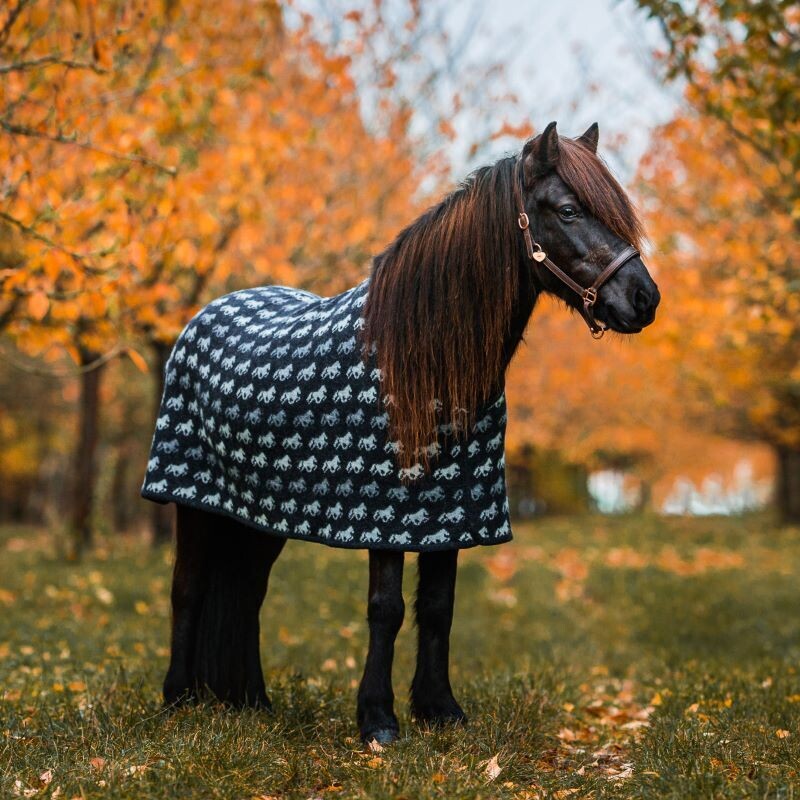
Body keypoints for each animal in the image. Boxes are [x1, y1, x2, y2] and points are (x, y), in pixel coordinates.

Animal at [143, 121, 660, 745]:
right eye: (567, 209)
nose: (645, 299)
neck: (424, 357)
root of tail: (204, 315)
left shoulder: (453, 512)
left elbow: (438, 606)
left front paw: (440, 709)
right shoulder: (384, 514)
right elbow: (386, 608)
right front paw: (378, 719)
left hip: (257, 514)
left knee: (247, 592)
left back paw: (252, 703)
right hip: (192, 502)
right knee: (187, 589)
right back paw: (176, 701)